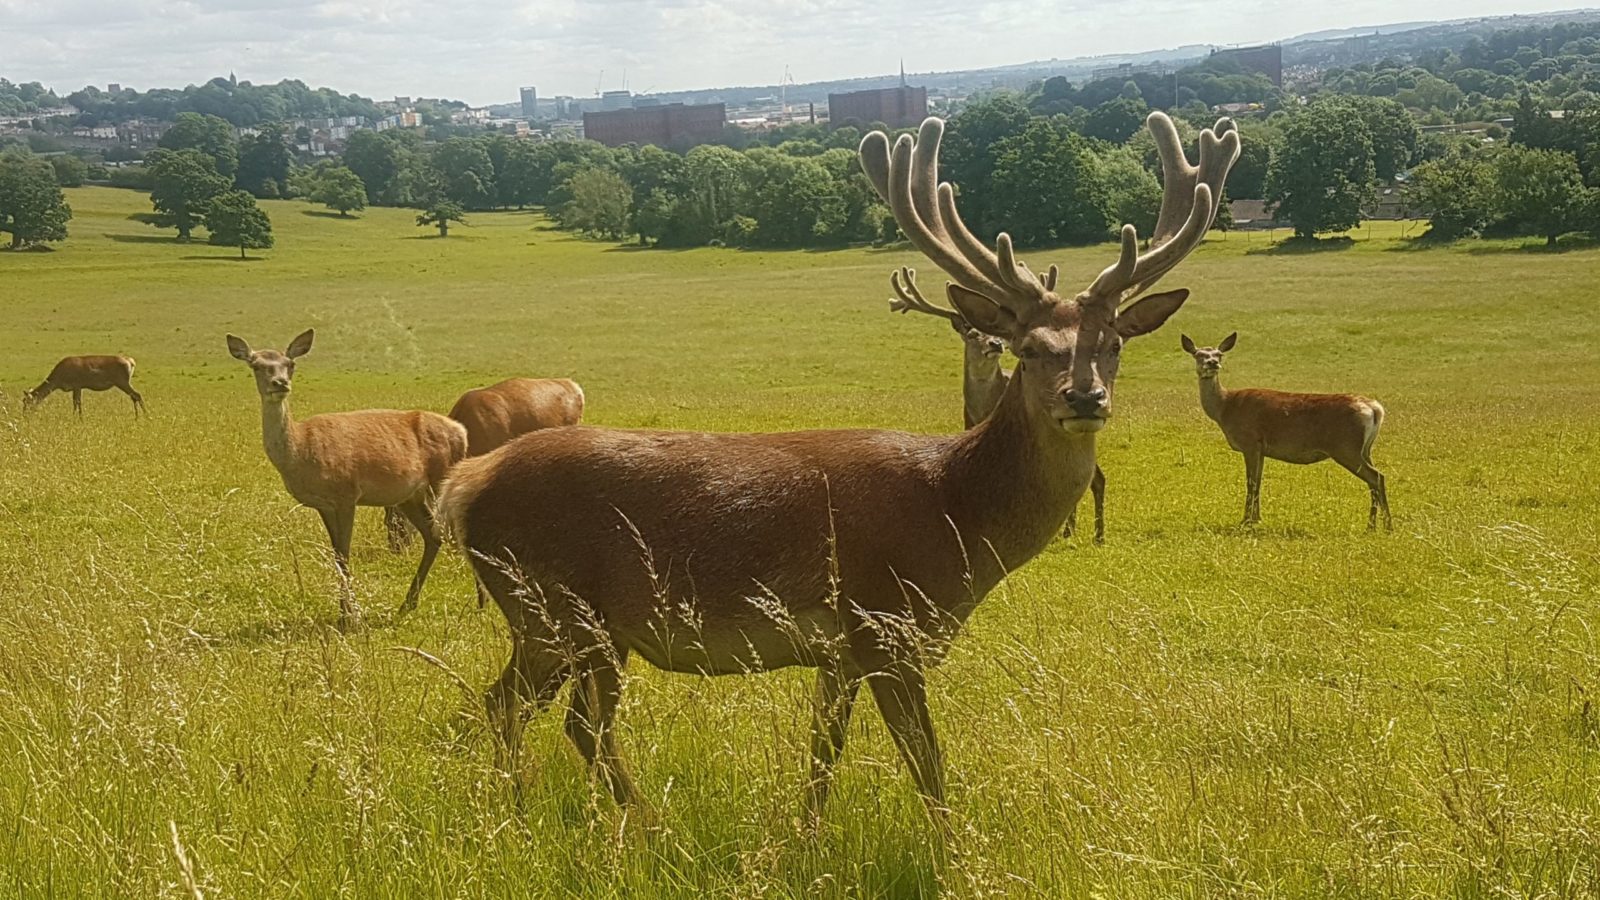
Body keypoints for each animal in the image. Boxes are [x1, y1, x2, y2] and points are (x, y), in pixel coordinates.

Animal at [227, 329, 468, 627]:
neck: (301, 450)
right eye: (256, 365)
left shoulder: (346, 494)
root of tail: (462, 431)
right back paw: (407, 604)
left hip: (441, 477)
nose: (279, 383)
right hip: (409, 495)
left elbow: (343, 555)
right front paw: (346, 612)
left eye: (290, 364)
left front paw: (350, 617)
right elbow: (335, 555)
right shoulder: (324, 504)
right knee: (433, 535)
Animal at [889, 267, 1108, 544]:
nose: (996, 344)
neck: (983, 409)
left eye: (996, 334)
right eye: (972, 334)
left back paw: (1096, 534)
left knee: (1096, 478)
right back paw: (1069, 530)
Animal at [1181, 333, 1391, 530]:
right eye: (1198, 355)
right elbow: (1258, 481)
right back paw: (1377, 525)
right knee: (1376, 478)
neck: (1225, 408)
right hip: (1365, 449)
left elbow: (1251, 482)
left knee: (1375, 477)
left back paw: (1382, 525)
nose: (1212, 363)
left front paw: (1246, 520)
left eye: (1219, 354)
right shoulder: (1261, 449)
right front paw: (1257, 518)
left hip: (1346, 446)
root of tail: (1374, 409)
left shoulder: (1250, 441)